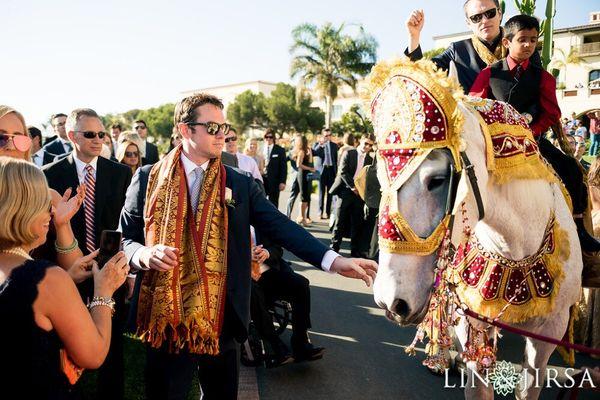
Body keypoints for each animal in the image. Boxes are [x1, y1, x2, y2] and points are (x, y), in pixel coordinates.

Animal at [372, 97, 584, 400]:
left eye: (437, 180)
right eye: (379, 179)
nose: (390, 301)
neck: (513, 248)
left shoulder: (549, 332)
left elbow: (529, 386)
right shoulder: (471, 320)